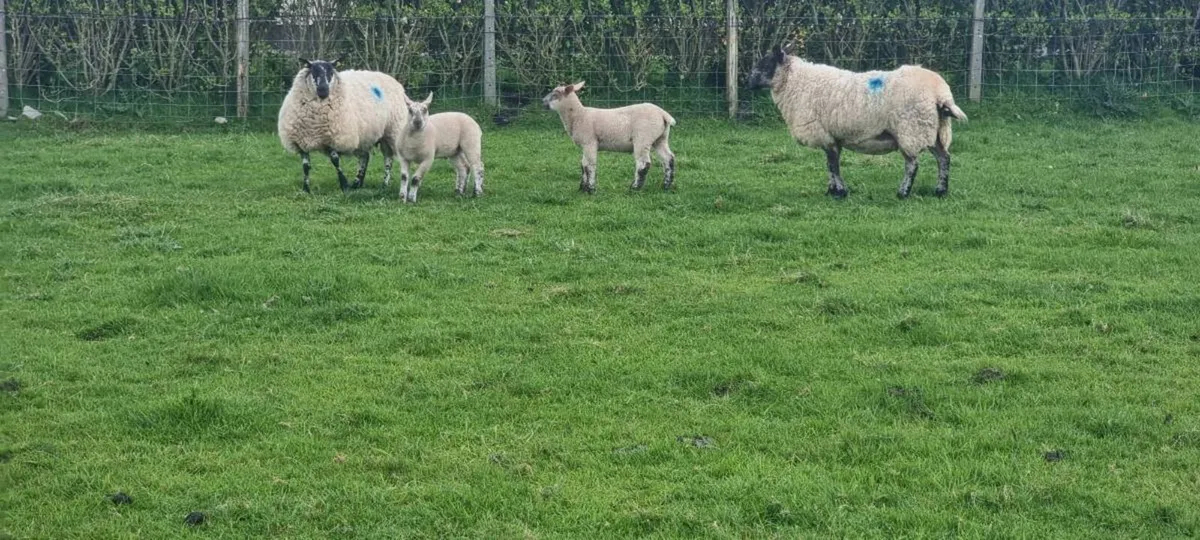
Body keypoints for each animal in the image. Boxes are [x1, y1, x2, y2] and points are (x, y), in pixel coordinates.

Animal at [277, 57, 409, 193]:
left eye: (331, 73)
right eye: (313, 72)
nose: (323, 91)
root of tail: (393, 80)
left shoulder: (333, 138)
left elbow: (335, 161)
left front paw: (344, 185)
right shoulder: (301, 144)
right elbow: (306, 166)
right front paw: (306, 189)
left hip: (392, 132)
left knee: (388, 159)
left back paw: (385, 185)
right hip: (364, 136)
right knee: (365, 157)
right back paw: (357, 183)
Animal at [541, 81, 677, 194]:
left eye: (555, 94)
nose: (542, 102)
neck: (579, 116)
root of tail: (663, 114)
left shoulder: (589, 142)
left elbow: (590, 165)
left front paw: (591, 189)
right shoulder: (585, 145)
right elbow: (583, 165)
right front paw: (582, 188)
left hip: (643, 138)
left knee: (643, 163)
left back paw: (634, 188)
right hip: (660, 138)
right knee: (668, 158)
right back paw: (666, 186)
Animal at [747, 44, 967, 199]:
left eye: (765, 64)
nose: (747, 82)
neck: (797, 82)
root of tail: (940, 93)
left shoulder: (824, 134)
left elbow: (833, 165)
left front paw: (839, 192)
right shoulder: (832, 136)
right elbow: (831, 164)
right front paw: (832, 190)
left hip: (911, 130)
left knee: (912, 165)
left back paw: (903, 193)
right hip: (934, 130)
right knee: (944, 158)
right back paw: (940, 191)